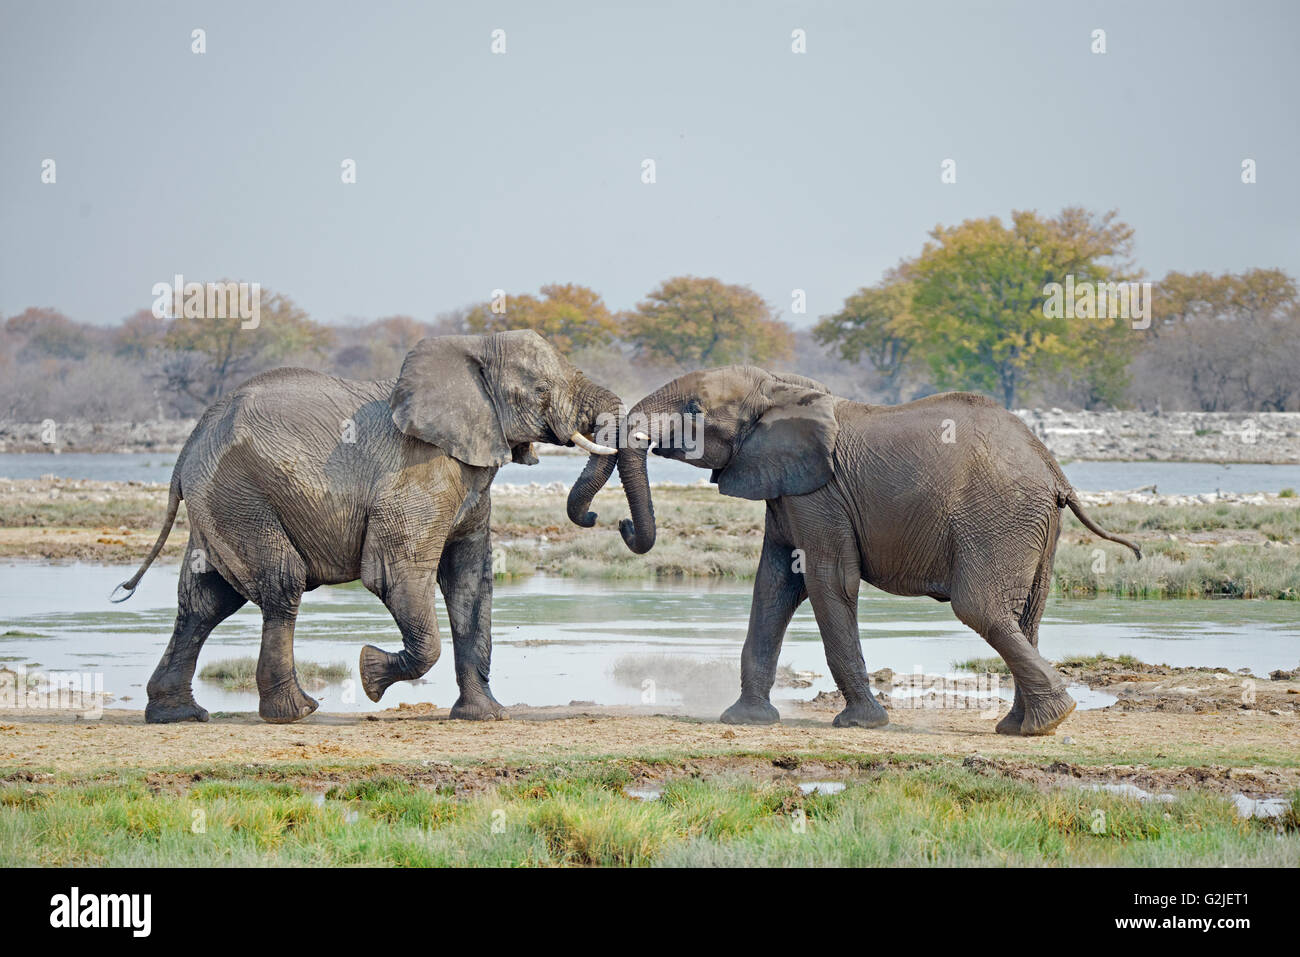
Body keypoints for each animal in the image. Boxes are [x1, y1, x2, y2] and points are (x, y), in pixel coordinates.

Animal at [114, 330, 647, 722]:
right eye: (540, 391)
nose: (608, 519)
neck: (473, 346)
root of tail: (190, 442)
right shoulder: (419, 472)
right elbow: (394, 574)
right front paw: (370, 675)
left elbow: (470, 581)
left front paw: (487, 716)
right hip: (240, 494)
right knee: (280, 584)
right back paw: (297, 712)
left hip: (220, 502)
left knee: (206, 599)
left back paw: (178, 715)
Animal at [569, 364, 1138, 733]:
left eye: (694, 409)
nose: (614, 521)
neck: (781, 388)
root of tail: (1053, 467)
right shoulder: (788, 489)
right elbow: (774, 586)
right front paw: (747, 720)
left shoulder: (819, 495)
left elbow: (826, 582)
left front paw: (860, 724)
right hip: (1034, 526)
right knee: (1026, 615)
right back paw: (1020, 726)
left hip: (999, 518)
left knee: (980, 607)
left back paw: (1049, 722)